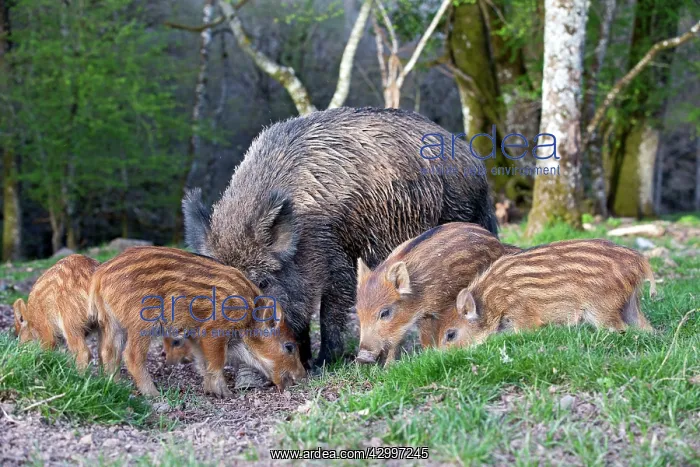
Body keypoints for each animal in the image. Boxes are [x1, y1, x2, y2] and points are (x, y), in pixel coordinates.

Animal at [89, 246, 306, 397]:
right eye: (289, 347)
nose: (302, 376)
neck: (249, 319)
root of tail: (100, 274)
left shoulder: (195, 335)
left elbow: (203, 361)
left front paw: (210, 391)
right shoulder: (213, 329)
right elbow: (217, 361)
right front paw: (225, 394)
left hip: (111, 322)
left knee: (108, 352)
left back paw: (117, 385)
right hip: (141, 322)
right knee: (131, 355)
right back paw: (153, 394)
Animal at [355, 223, 509, 366]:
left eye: (385, 312)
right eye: (358, 312)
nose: (361, 357)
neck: (417, 292)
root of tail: (495, 239)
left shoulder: (435, 310)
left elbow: (426, 336)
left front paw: (429, 357)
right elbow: (396, 341)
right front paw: (388, 368)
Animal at [436, 239, 656, 349]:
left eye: (450, 335)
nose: (439, 355)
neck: (490, 302)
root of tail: (639, 260)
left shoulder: (523, 316)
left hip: (602, 308)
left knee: (619, 329)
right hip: (630, 304)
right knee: (646, 328)